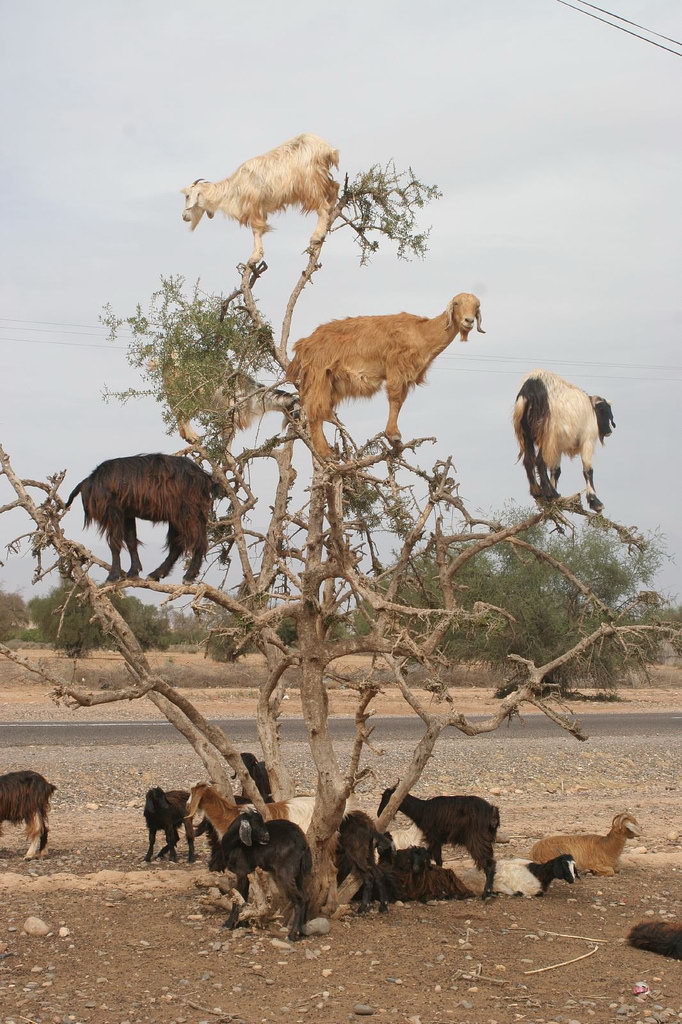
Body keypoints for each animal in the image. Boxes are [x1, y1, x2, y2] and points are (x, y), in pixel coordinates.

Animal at [65, 453, 218, 583]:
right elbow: (131, 541)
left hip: (188, 512)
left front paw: (113, 576)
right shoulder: (127, 514)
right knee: (177, 544)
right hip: (178, 516)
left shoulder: (113, 512)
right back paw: (157, 573)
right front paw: (133, 572)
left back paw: (189, 575)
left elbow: (114, 543)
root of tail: (205, 478)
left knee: (197, 540)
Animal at [181, 133, 340, 266]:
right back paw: (330, 215)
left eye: (188, 196)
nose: (183, 216)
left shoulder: (254, 206)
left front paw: (254, 257)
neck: (234, 187)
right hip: (320, 177)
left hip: (309, 184)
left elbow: (256, 230)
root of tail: (326, 148)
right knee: (334, 187)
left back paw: (317, 236)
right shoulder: (260, 209)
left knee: (322, 206)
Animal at [219, 809, 312, 941]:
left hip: (286, 873)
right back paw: (302, 931)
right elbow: (243, 897)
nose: (267, 836)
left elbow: (237, 898)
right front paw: (242, 923)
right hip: (298, 874)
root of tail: (304, 844)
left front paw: (229, 924)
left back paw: (293, 935)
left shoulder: (241, 871)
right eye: (255, 824)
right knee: (306, 896)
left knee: (300, 899)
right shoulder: (247, 872)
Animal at [286, 293, 484, 458]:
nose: (468, 320)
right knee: (314, 410)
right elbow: (395, 399)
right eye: (457, 303)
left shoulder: (406, 376)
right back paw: (325, 452)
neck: (423, 332)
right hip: (319, 374)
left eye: (476, 306)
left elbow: (400, 401)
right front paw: (393, 435)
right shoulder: (396, 367)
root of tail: (304, 344)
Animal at [513, 369, 616, 513]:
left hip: (527, 434)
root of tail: (529, 390)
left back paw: (538, 491)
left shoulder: (558, 446)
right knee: (540, 461)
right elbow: (588, 470)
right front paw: (595, 502)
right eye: (605, 412)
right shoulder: (587, 440)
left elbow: (556, 470)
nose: (609, 431)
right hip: (548, 434)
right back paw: (550, 492)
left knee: (528, 461)